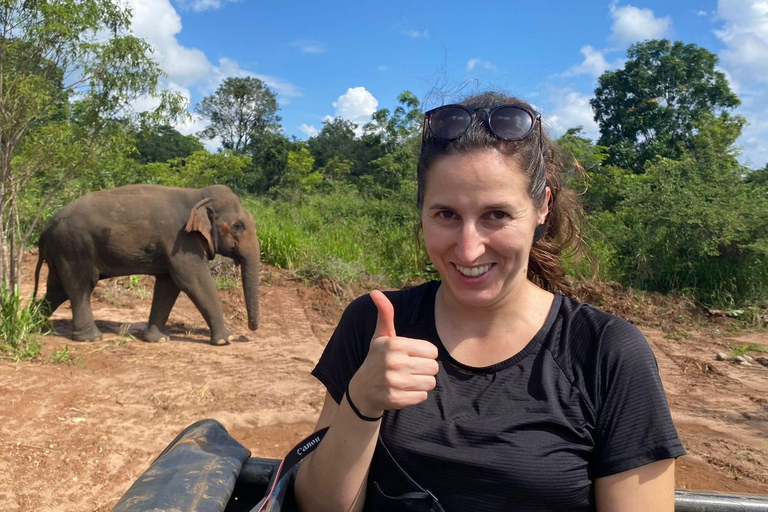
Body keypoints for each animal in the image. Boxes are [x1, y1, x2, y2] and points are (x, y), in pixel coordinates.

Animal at [32, 184, 260, 344]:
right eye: (238, 227)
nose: (250, 331)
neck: (198, 195)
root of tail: (45, 229)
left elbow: (168, 285)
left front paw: (159, 340)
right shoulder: (180, 241)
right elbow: (194, 281)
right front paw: (227, 339)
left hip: (61, 251)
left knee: (57, 289)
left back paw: (34, 324)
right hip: (73, 247)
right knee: (81, 286)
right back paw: (91, 338)